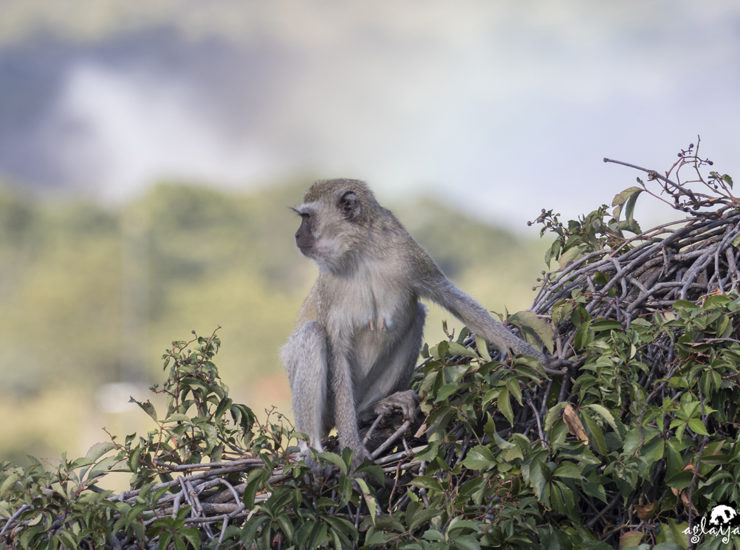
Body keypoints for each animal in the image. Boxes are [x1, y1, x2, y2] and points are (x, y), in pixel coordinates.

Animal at [280, 179, 548, 468]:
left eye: (307, 218)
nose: (296, 235)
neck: (360, 252)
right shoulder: (329, 288)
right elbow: (337, 349)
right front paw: (351, 447)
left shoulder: (406, 252)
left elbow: (452, 298)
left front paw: (533, 356)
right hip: (330, 409)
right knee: (313, 333)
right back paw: (311, 449)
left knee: (416, 315)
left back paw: (368, 410)